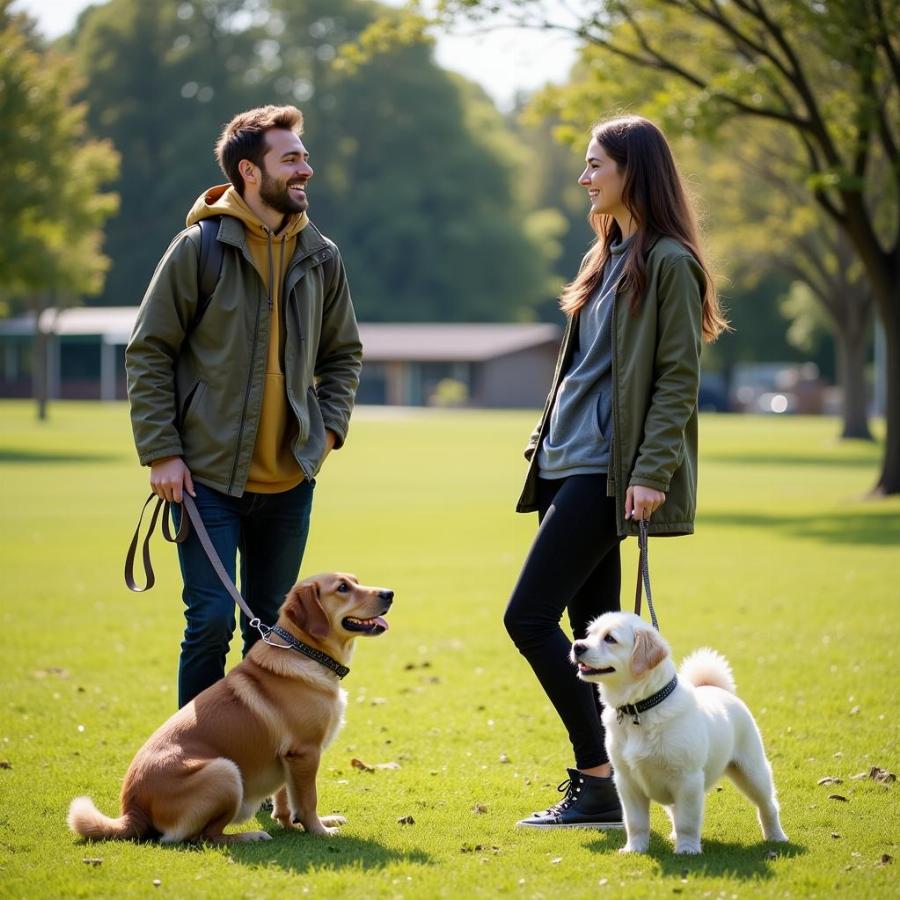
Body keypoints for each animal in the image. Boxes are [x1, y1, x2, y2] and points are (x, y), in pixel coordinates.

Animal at [68, 576, 392, 844]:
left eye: (355, 581)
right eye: (342, 588)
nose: (389, 593)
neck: (304, 652)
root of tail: (132, 810)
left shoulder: (289, 758)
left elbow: (287, 800)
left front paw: (295, 824)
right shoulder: (305, 752)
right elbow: (307, 799)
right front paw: (319, 830)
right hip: (225, 772)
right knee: (205, 837)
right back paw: (249, 836)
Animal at [572, 608, 784, 856]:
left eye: (610, 638)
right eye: (589, 634)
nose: (577, 646)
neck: (640, 709)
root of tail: (716, 688)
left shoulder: (688, 780)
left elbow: (687, 822)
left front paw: (687, 850)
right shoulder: (626, 782)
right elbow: (635, 822)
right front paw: (635, 849)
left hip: (752, 771)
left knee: (768, 806)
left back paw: (777, 837)